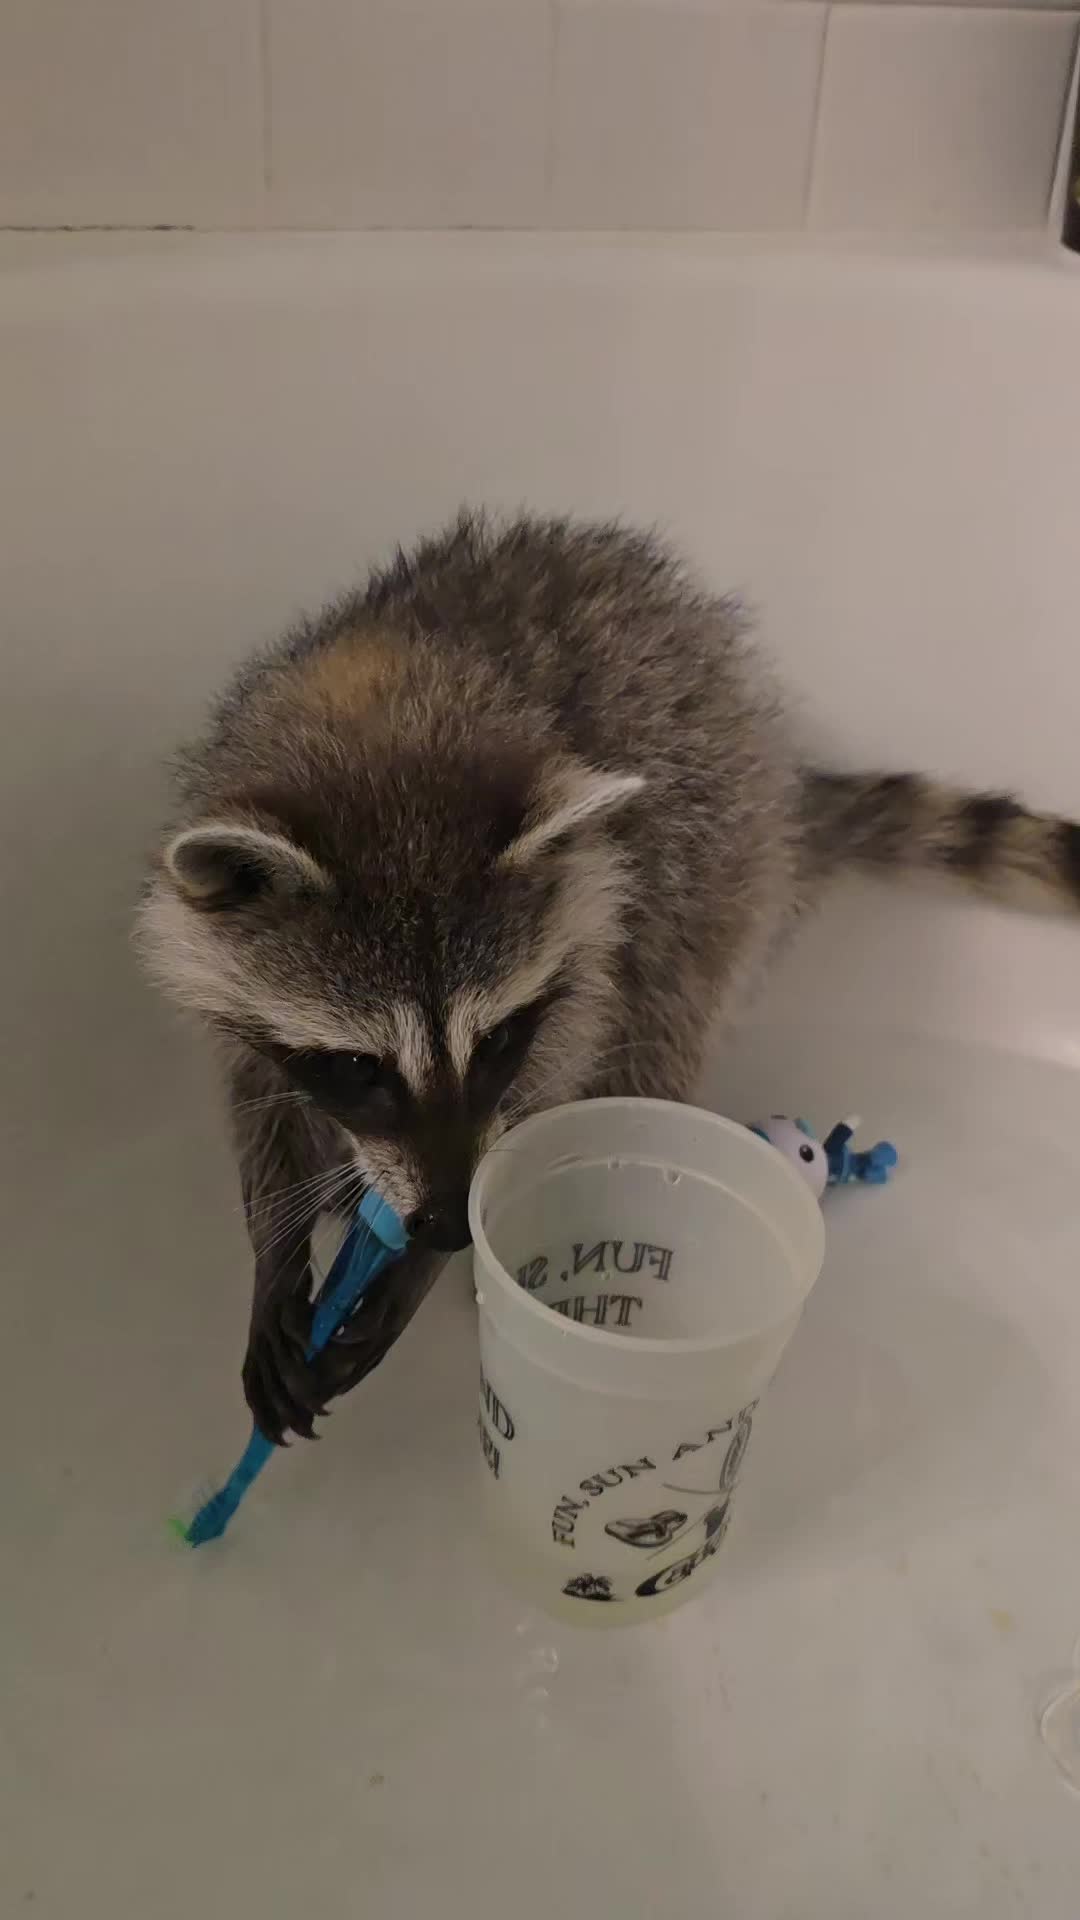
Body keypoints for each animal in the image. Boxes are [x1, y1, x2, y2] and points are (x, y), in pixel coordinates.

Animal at [138, 511, 1080, 1442]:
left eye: (496, 1041)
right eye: (359, 1068)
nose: (444, 1225)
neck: (376, 719)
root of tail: (779, 778)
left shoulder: (591, 931)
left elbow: (551, 1080)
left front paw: (411, 1273)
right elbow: (257, 1095)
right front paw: (277, 1249)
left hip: (717, 863)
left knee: (661, 1017)